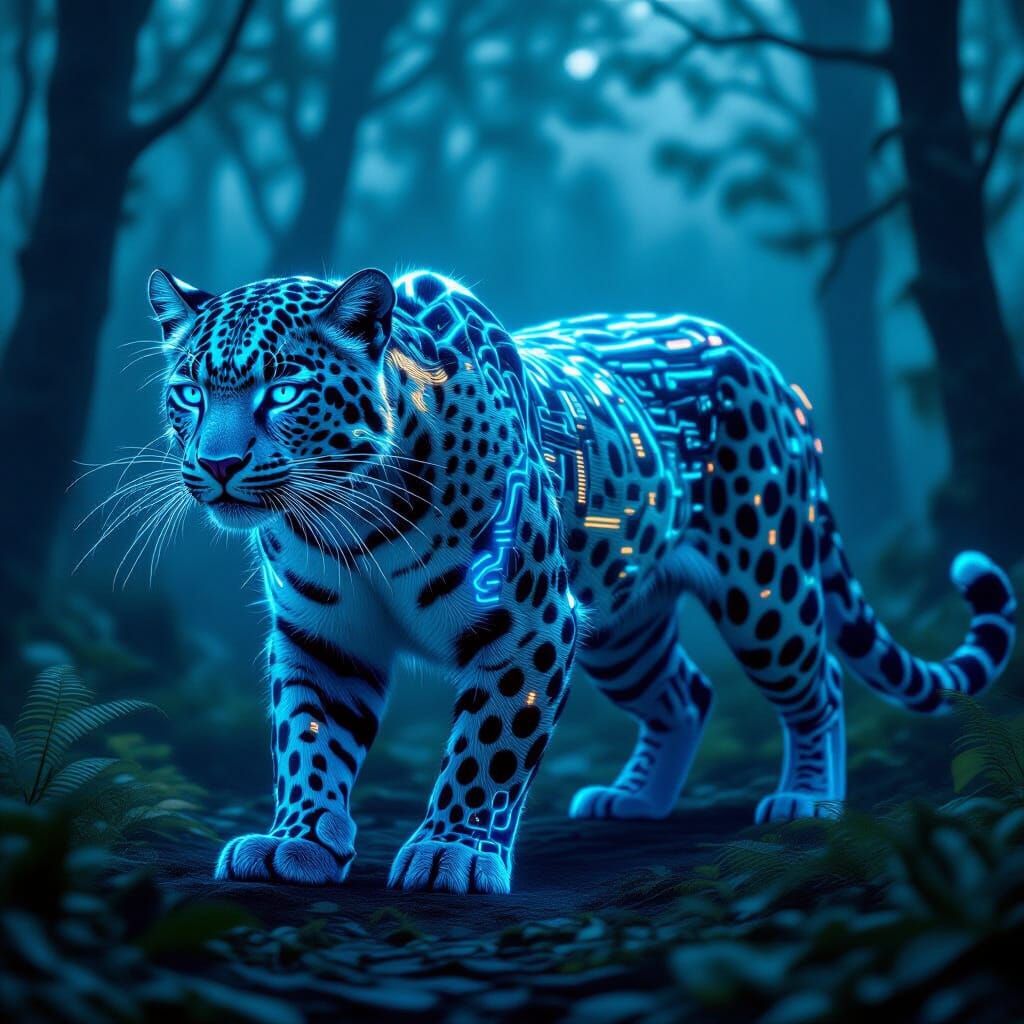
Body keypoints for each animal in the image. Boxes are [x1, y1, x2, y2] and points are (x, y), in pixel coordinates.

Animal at [145, 264, 1016, 894]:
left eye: (284, 391)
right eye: (190, 392)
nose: (216, 464)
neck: (347, 519)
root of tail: (771, 370)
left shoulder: (528, 623)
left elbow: (488, 746)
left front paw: (453, 853)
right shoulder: (322, 638)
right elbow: (309, 740)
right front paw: (296, 843)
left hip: (765, 586)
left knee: (820, 682)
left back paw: (806, 800)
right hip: (622, 631)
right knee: (686, 692)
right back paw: (634, 801)